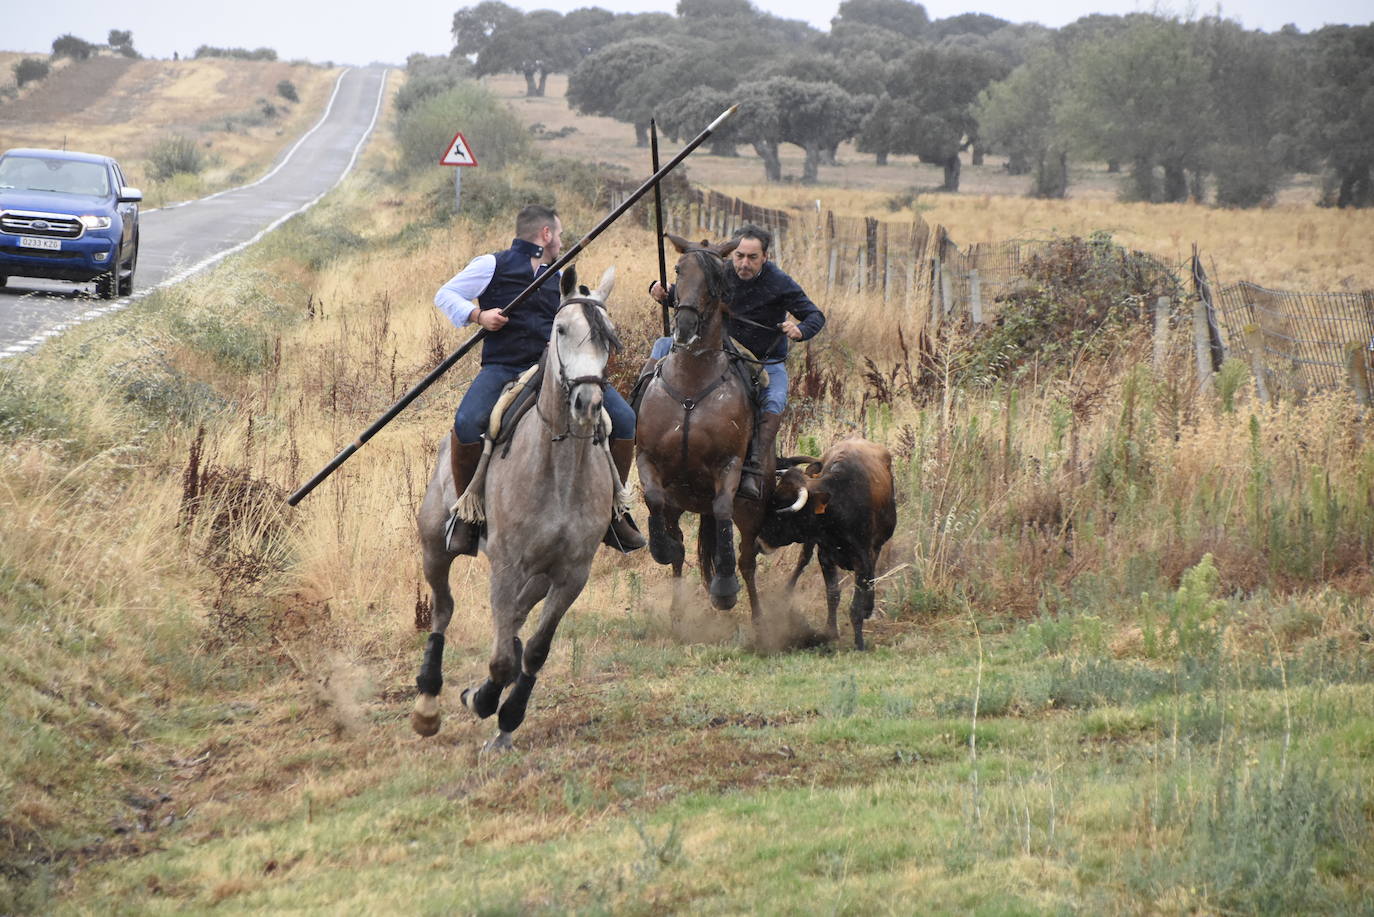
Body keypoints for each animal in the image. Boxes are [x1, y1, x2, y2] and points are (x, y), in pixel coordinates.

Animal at [406, 265, 623, 753]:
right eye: (561, 330)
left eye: (609, 336)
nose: (588, 404)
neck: (560, 472)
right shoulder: (506, 566)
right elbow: (502, 659)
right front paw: (482, 700)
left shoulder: (571, 574)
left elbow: (536, 650)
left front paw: (508, 718)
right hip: (434, 547)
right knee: (444, 609)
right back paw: (427, 704)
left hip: (538, 575)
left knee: (516, 619)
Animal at [632, 236, 774, 624]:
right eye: (679, 270)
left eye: (717, 276)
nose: (684, 326)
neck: (691, 385)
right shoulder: (648, 459)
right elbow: (655, 501)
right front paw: (662, 547)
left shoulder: (728, 466)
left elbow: (723, 509)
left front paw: (723, 590)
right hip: (680, 503)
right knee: (682, 548)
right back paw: (677, 608)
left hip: (751, 512)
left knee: (746, 560)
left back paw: (757, 617)